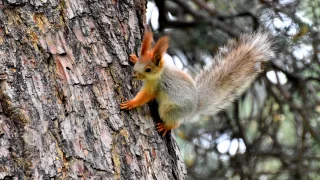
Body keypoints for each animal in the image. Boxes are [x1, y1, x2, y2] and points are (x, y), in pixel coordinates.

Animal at [120, 31, 272, 136]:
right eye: (140, 61)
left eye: (148, 69)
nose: (135, 74)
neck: (160, 72)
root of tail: (194, 109)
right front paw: (133, 58)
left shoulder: (155, 86)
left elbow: (145, 96)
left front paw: (131, 103)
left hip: (169, 109)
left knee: (175, 123)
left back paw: (166, 126)